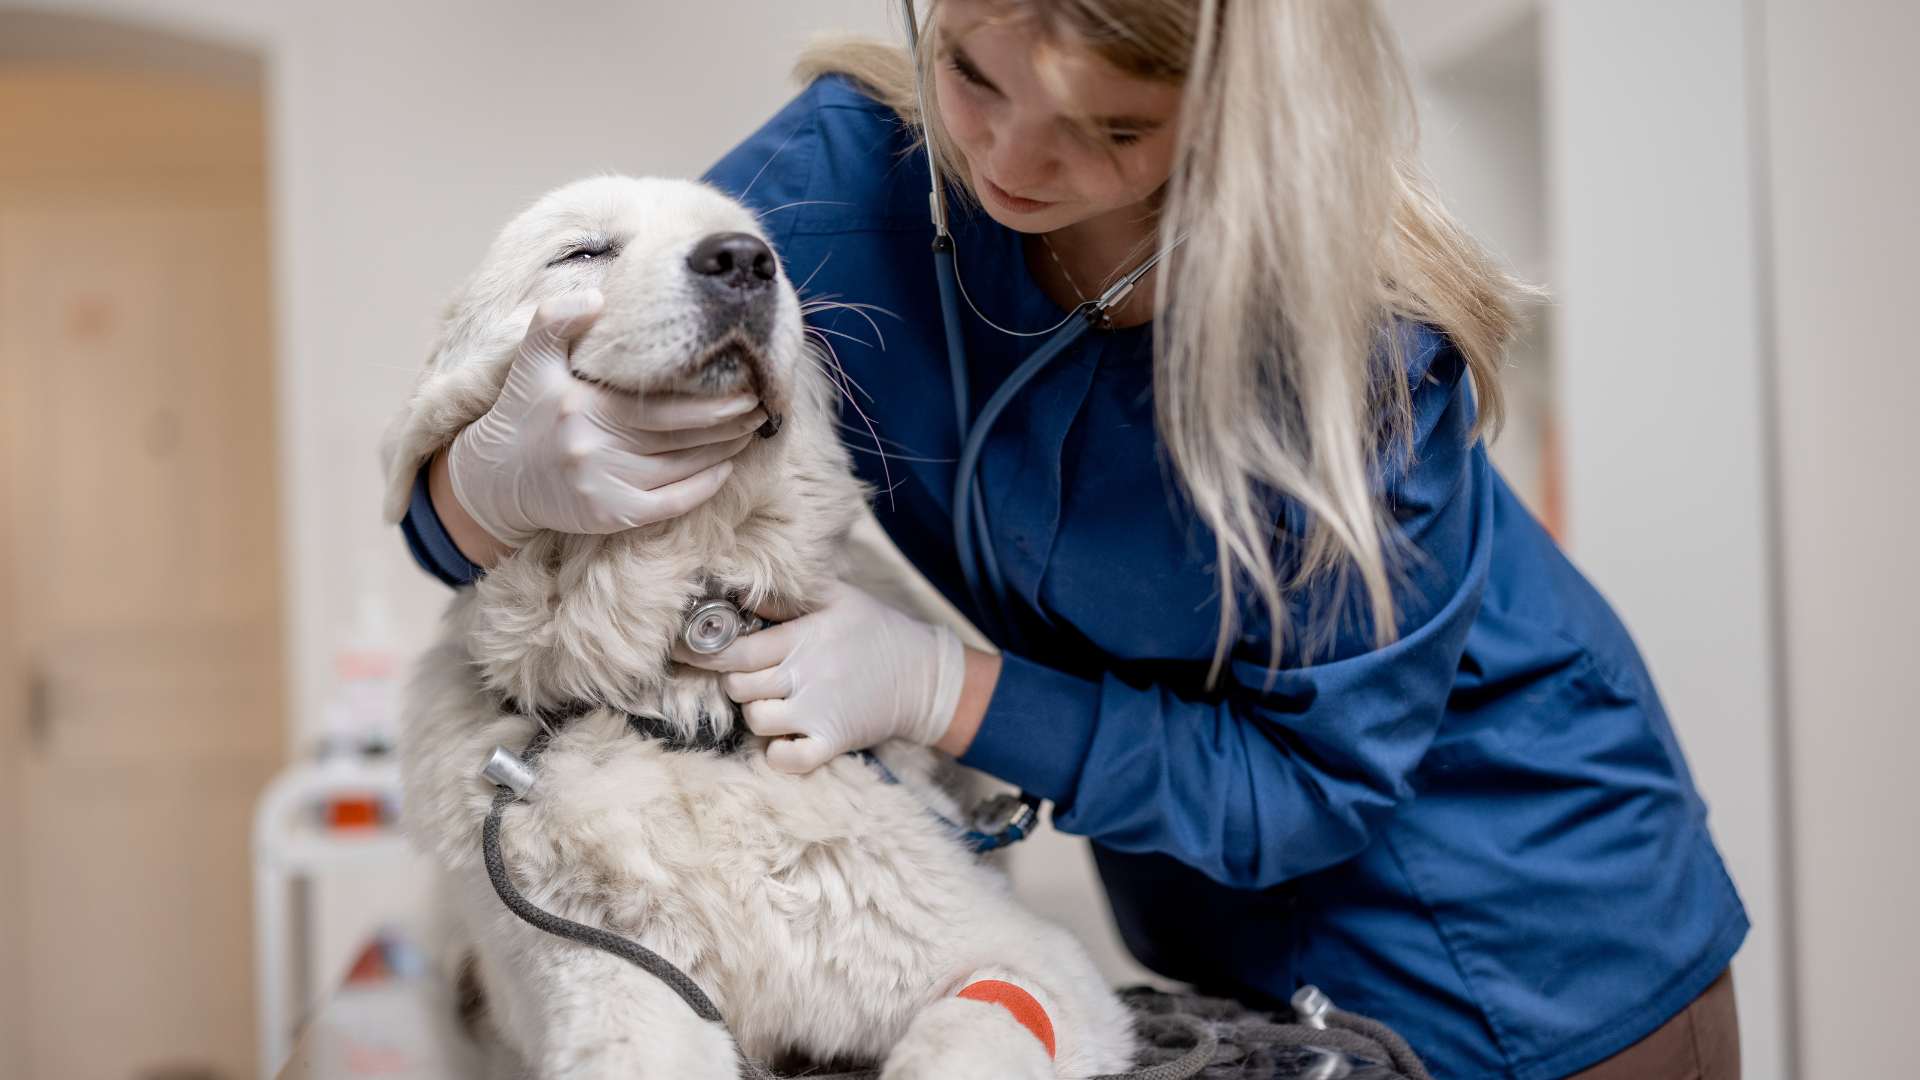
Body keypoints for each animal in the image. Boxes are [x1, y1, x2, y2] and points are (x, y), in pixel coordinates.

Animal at [382, 178, 1144, 1076]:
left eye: (761, 246)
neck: (682, 700)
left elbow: (974, 1031)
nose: (742, 261)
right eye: (583, 252)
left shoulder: (1027, 958)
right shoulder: (615, 985)